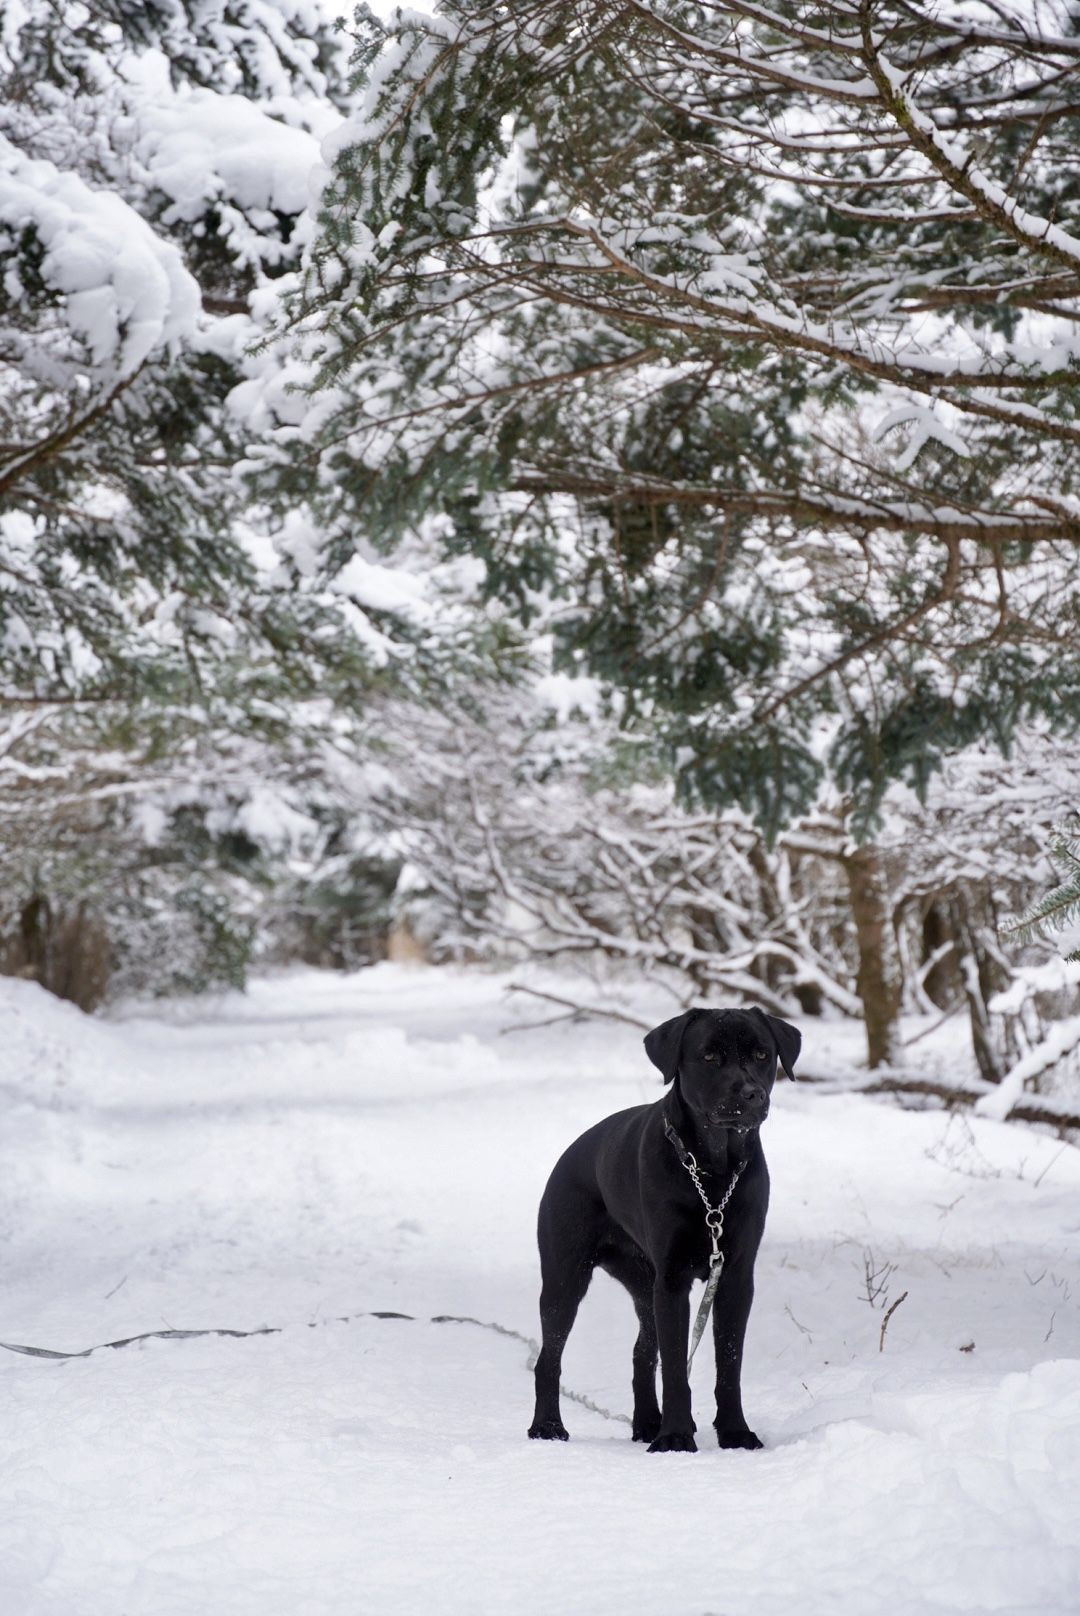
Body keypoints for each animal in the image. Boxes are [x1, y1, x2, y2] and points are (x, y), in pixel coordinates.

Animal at [528, 1006, 800, 1452]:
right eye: (709, 1056)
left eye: (762, 1054)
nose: (751, 1094)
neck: (712, 1171)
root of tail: (568, 1155)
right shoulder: (672, 1280)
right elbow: (675, 1367)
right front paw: (675, 1437)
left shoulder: (735, 1276)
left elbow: (729, 1364)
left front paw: (734, 1432)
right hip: (565, 1279)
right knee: (548, 1360)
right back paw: (548, 1427)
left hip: (643, 1287)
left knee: (641, 1353)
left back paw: (645, 1424)